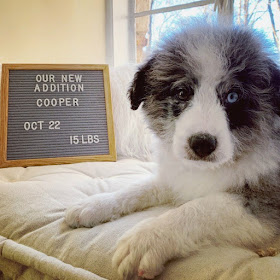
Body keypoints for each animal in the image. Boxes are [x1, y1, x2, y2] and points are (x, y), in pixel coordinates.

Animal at [65, 22, 280, 280]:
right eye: (182, 92)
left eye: (233, 96)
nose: (202, 144)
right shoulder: (177, 176)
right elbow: (139, 189)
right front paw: (96, 204)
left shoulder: (267, 200)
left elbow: (204, 207)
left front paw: (146, 239)